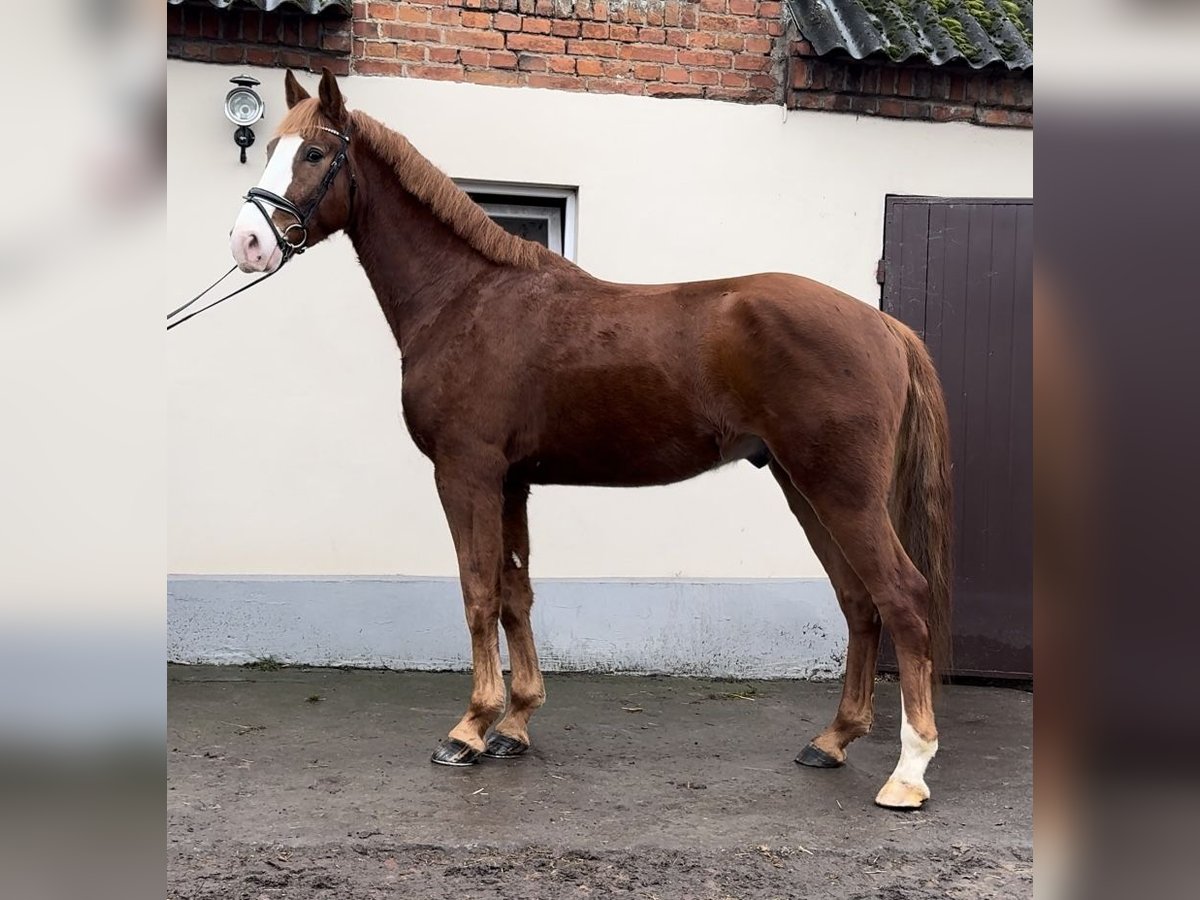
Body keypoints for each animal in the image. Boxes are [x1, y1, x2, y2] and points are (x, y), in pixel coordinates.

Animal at [226, 70, 945, 811]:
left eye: (314, 154)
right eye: (270, 150)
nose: (247, 242)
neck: (465, 300)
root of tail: (883, 326)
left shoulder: (466, 474)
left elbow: (477, 591)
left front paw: (470, 728)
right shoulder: (511, 482)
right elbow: (514, 595)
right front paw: (514, 723)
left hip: (840, 491)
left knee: (903, 597)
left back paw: (908, 771)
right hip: (804, 486)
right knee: (859, 600)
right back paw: (832, 740)